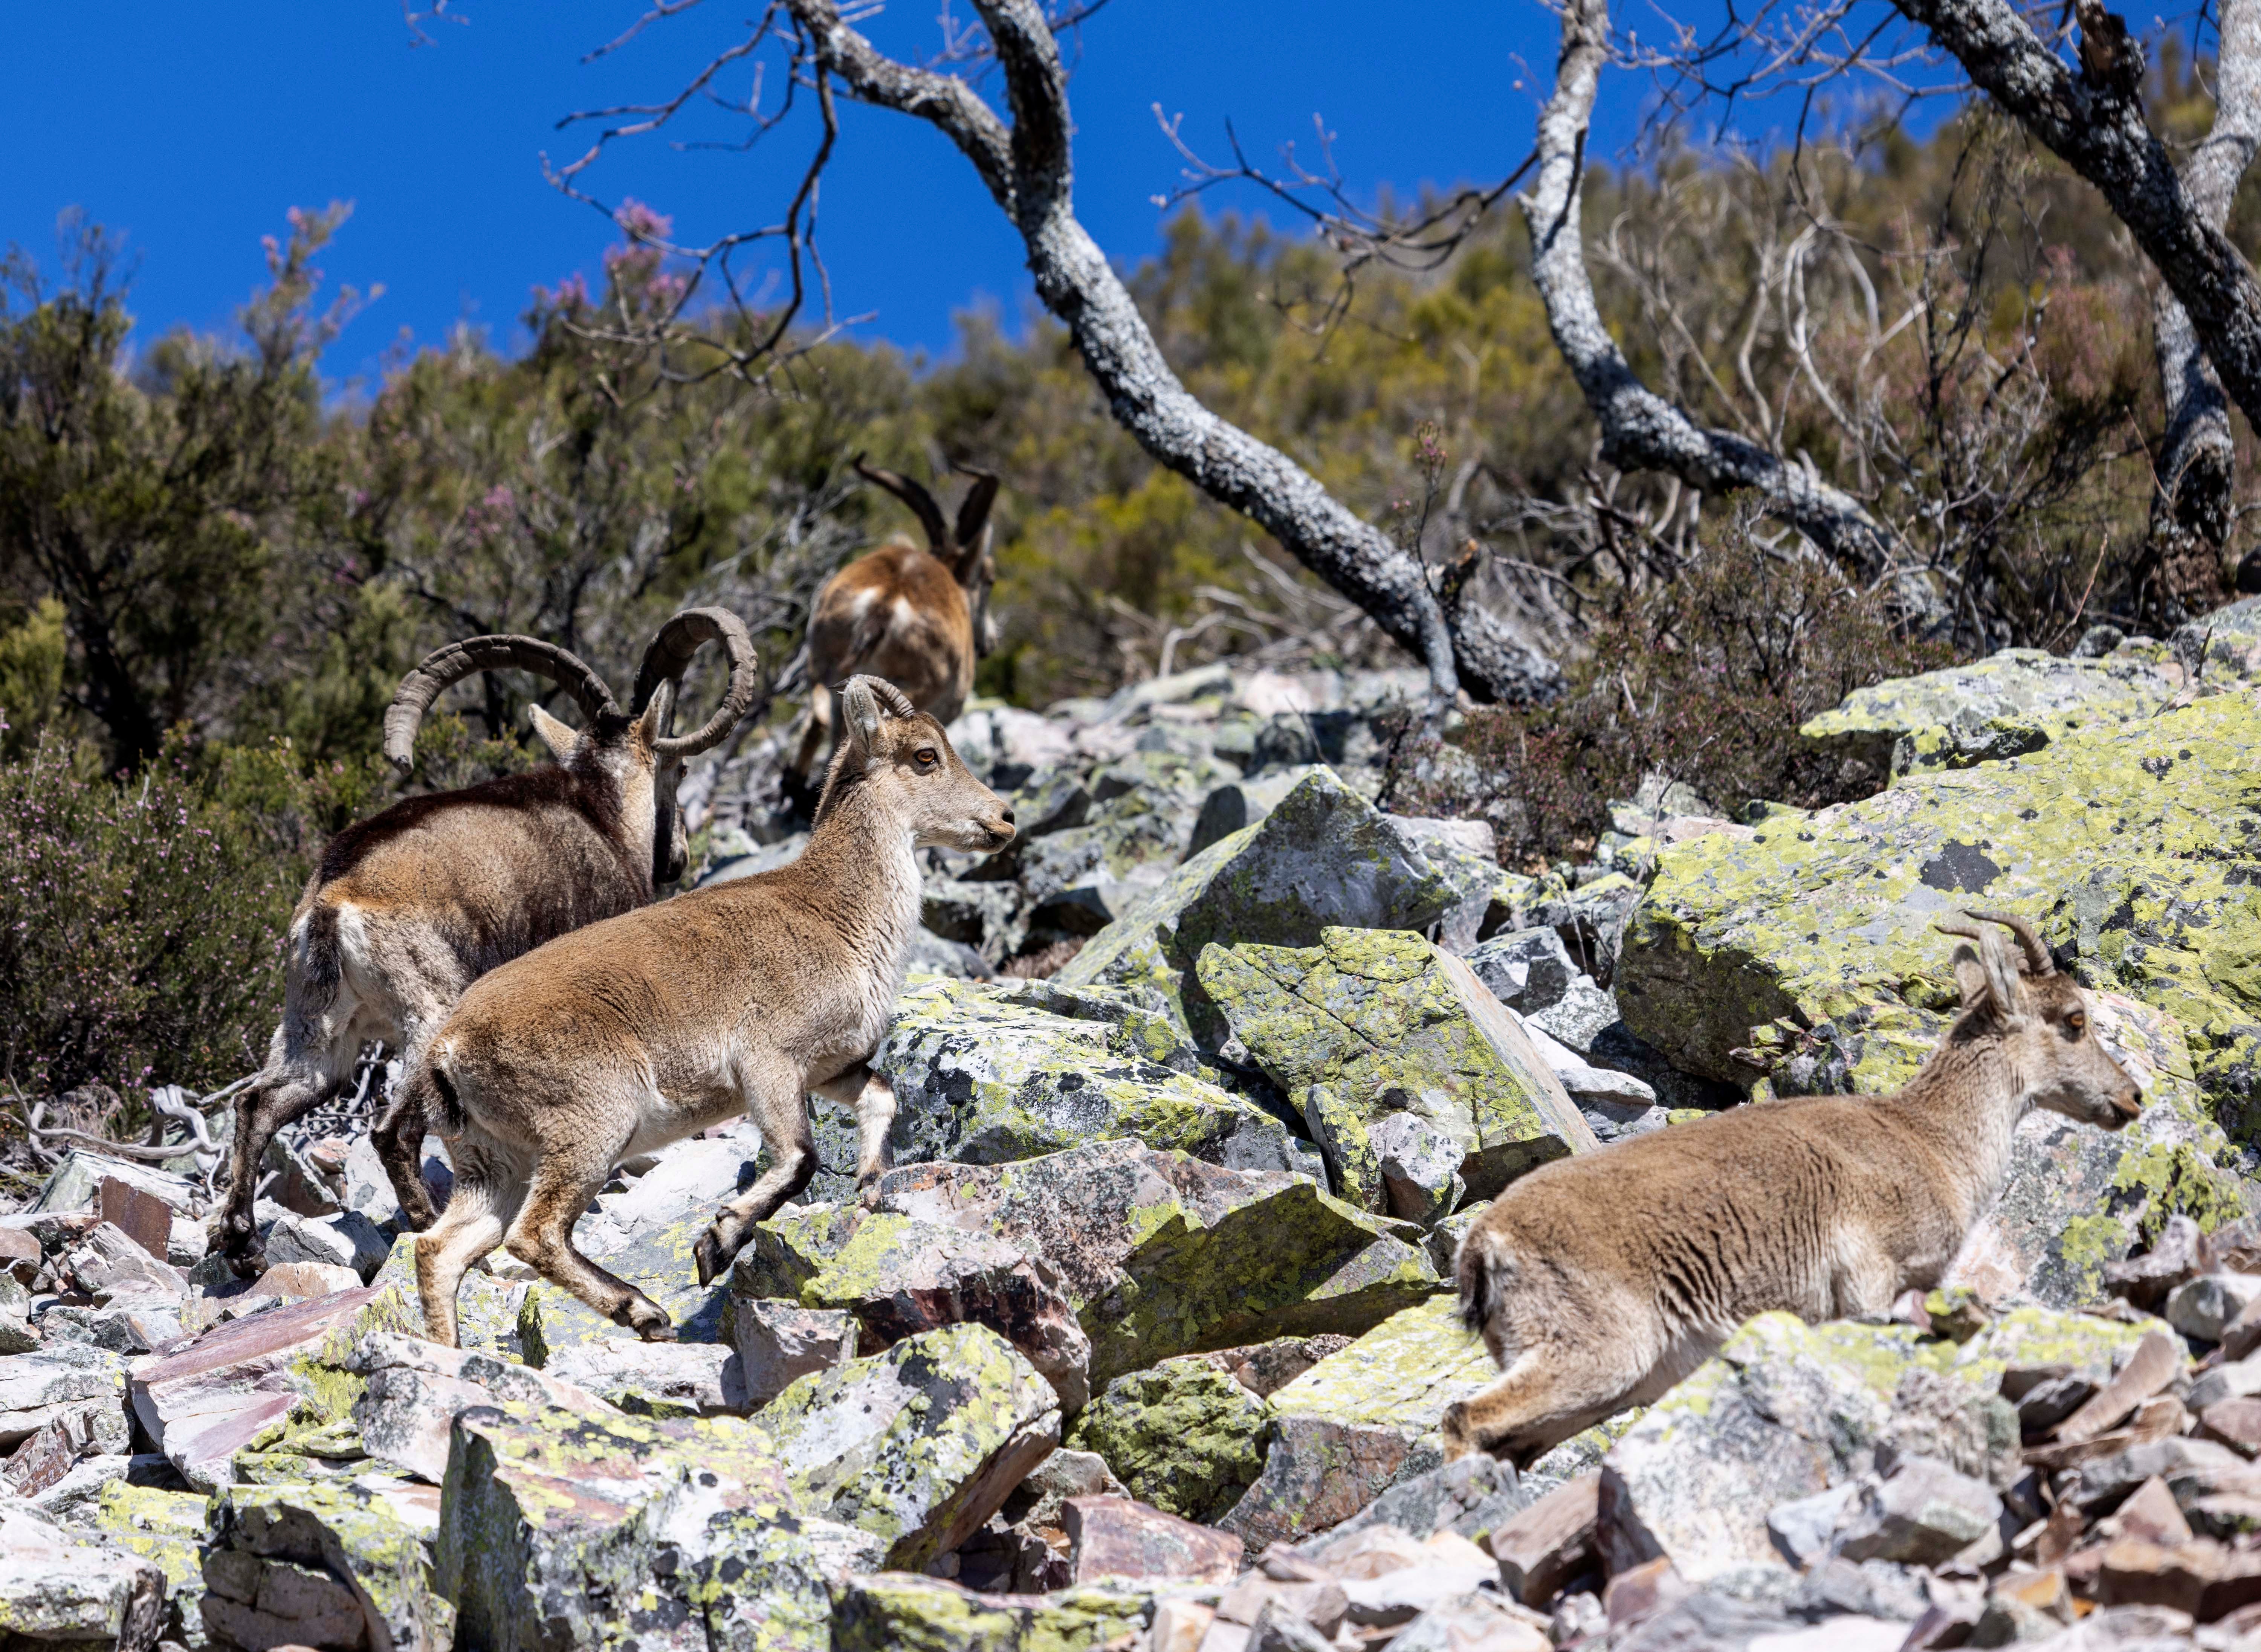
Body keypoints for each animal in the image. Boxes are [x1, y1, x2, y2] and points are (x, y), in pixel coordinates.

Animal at [212, 610, 761, 1278]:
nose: (676, 857)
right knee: (391, 1130)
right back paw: (429, 1226)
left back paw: (243, 1245)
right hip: (430, 1008)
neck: (598, 810)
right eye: (677, 769)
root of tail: (333, 898)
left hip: (317, 1026)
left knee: (259, 1103)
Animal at [404, 675, 1016, 1347]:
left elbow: (881, 1097)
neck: (834, 915)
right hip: (588, 1122)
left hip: (491, 1158)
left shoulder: (828, 1068)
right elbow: (799, 1157)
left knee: (440, 1248)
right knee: (533, 1235)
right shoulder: (767, 1061)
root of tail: (446, 1050)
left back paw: (450, 1355)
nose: (1004, 817)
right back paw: (643, 1311)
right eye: (925, 755)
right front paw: (716, 1243)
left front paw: (870, 1188)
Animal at [1441, 909, 2142, 1467]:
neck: (1930, 1140)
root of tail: (1484, 1245)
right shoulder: (1869, 1282)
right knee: (1463, 1418)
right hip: (1594, 1350)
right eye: (2073, 1020)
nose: (2132, 1096)